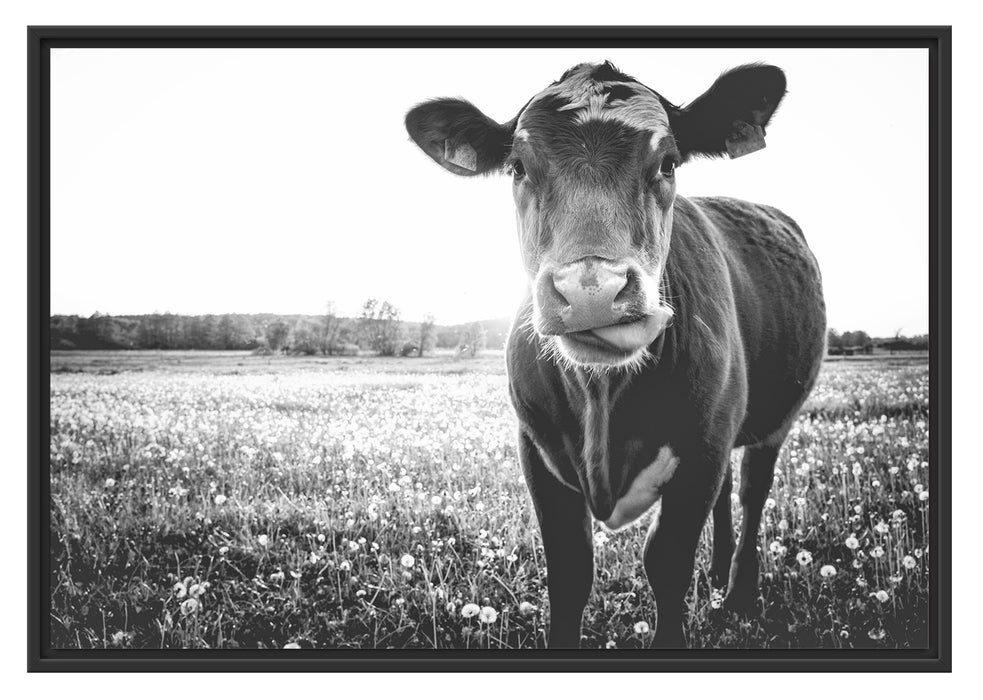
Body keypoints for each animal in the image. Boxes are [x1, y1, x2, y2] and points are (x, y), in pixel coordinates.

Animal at [405, 61, 826, 648]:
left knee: (751, 492)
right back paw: (718, 573)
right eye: (518, 166)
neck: (603, 400)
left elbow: (667, 562)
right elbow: (569, 571)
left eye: (668, 162)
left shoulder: (701, 451)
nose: (591, 290)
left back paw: (739, 592)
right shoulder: (537, 451)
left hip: (772, 422)